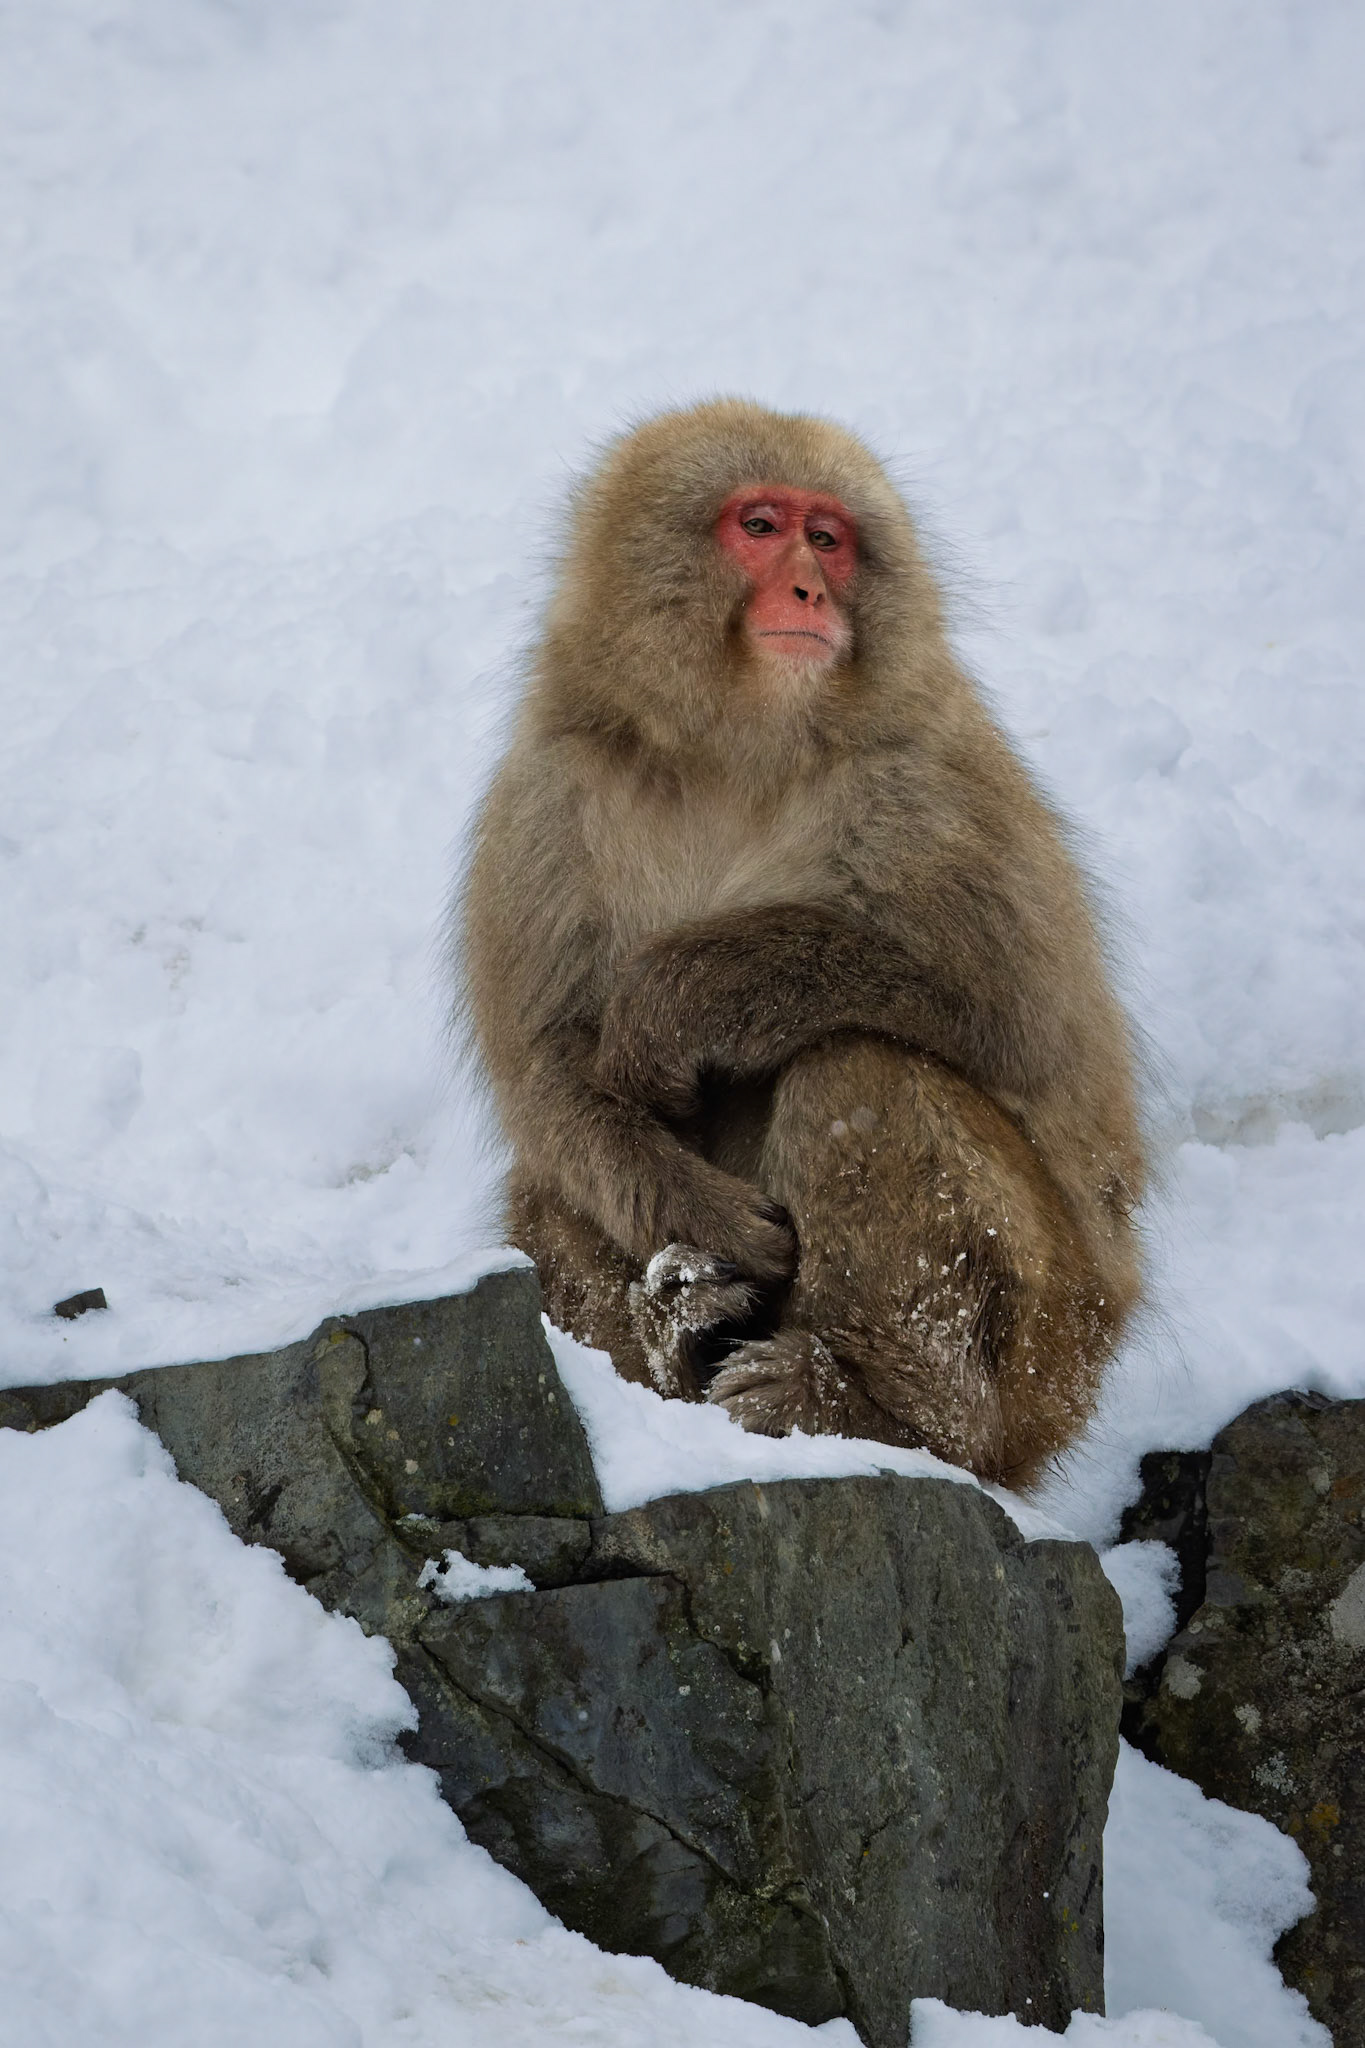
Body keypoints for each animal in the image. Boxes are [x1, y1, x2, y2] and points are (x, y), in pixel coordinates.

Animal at [459, 399, 1145, 1488]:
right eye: (760, 524)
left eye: (828, 538)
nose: (810, 588)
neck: (734, 750)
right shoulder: (542, 793)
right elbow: (548, 1072)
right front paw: (702, 1219)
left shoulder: (932, 779)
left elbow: (1022, 1020)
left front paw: (682, 997)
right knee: (554, 1187)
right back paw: (676, 1333)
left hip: (1053, 1344)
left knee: (860, 1071)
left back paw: (877, 1411)